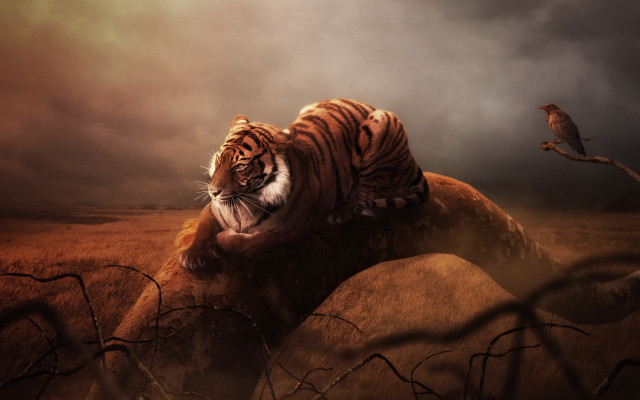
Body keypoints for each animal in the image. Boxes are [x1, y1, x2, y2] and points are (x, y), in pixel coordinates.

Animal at [180, 99, 429, 271]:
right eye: (219, 160)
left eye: (240, 167)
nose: (212, 191)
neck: (245, 203)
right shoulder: (213, 209)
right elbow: (203, 227)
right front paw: (193, 255)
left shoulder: (292, 231)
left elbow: (254, 243)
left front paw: (224, 239)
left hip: (380, 123)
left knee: (368, 200)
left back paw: (340, 213)